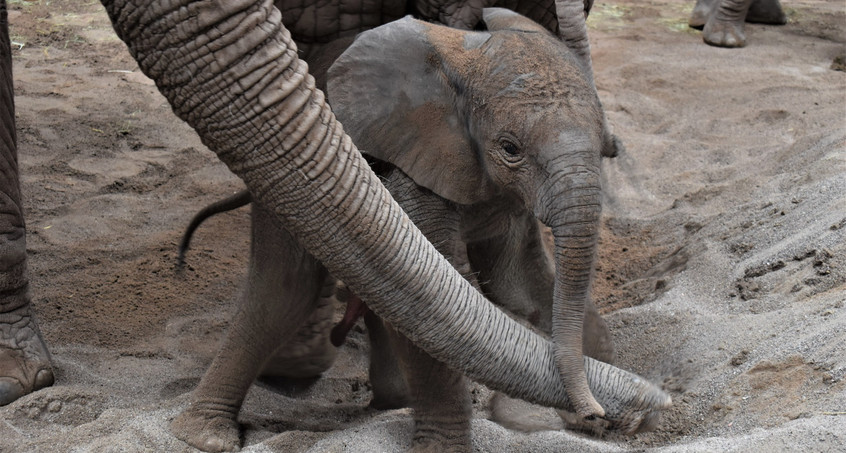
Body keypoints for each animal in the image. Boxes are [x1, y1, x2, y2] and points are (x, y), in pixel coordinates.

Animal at [176, 7, 672, 452]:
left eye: (606, 145)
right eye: (510, 148)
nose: (597, 414)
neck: (466, 60)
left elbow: (520, 286)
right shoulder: (414, 162)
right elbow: (442, 292)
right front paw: (447, 446)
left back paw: (392, 401)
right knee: (285, 288)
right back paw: (206, 436)